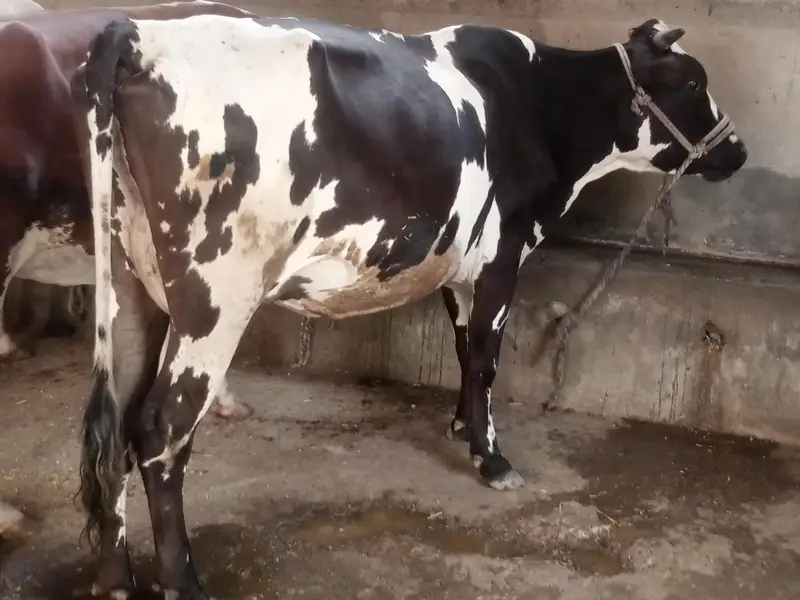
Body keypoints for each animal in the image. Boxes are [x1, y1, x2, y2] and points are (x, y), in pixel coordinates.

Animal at [73, 15, 747, 598]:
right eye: (693, 83)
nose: (737, 152)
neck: (538, 105)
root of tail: (137, 32)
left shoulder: (457, 262)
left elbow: (462, 348)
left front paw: (462, 426)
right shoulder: (503, 253)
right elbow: (486, 359)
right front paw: (492, 459)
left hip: (131, 284)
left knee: (116, 423)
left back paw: (112, 578)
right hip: (214, 296)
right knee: (161, 429)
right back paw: (181, 580)